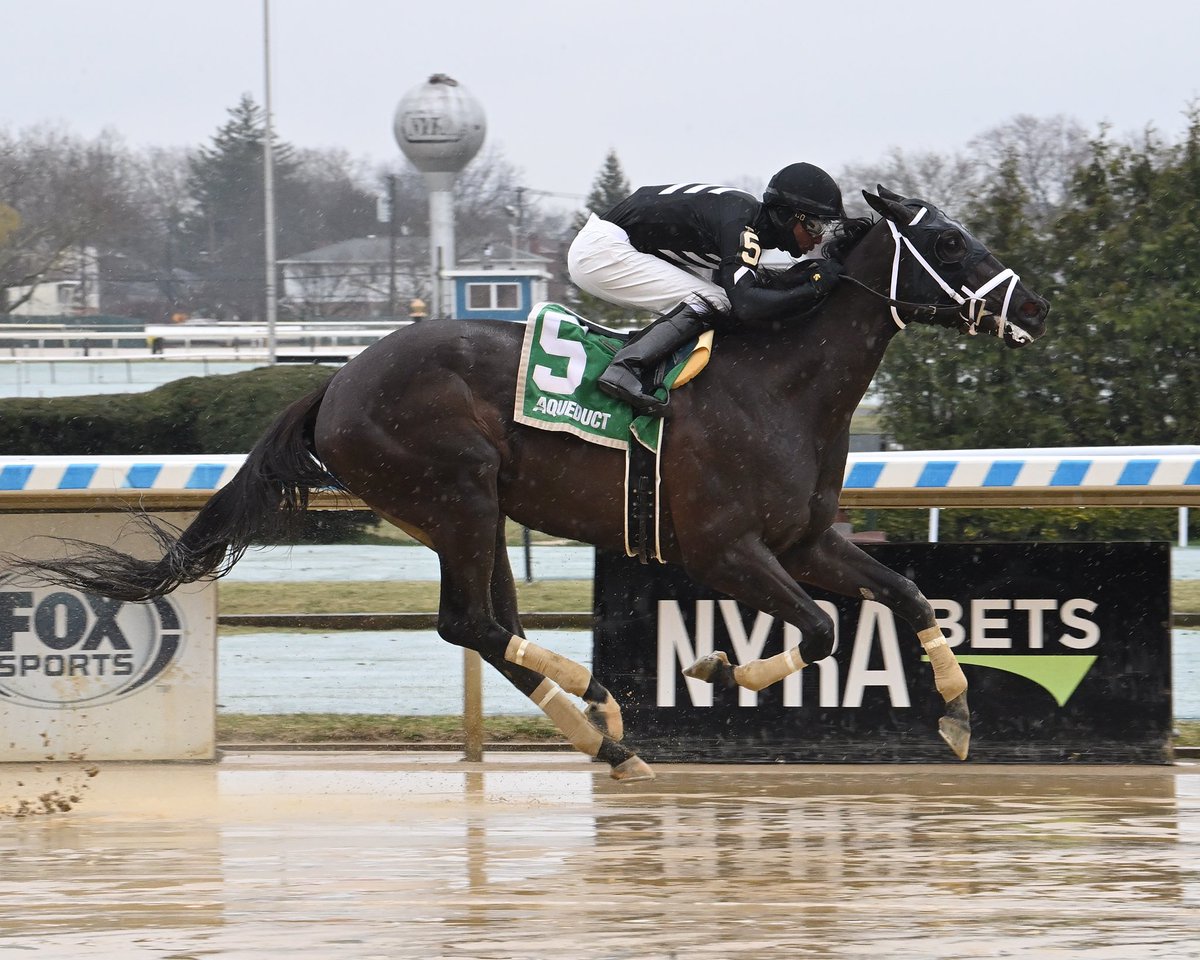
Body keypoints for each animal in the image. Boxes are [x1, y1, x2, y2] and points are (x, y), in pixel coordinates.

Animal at [4, 187, 1046, 777]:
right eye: (951, 243)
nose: (1034, 305)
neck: (775, 383)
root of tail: (337, 379)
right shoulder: (725, 549)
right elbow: (824, 630)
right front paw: (715, 667)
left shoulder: (808, 539)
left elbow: (907, 594)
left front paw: (958, 715)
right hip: (457, 494)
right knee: (471, 623)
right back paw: (604, 711)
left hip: (471, 513)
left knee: (489, 625)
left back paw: (606, 728)